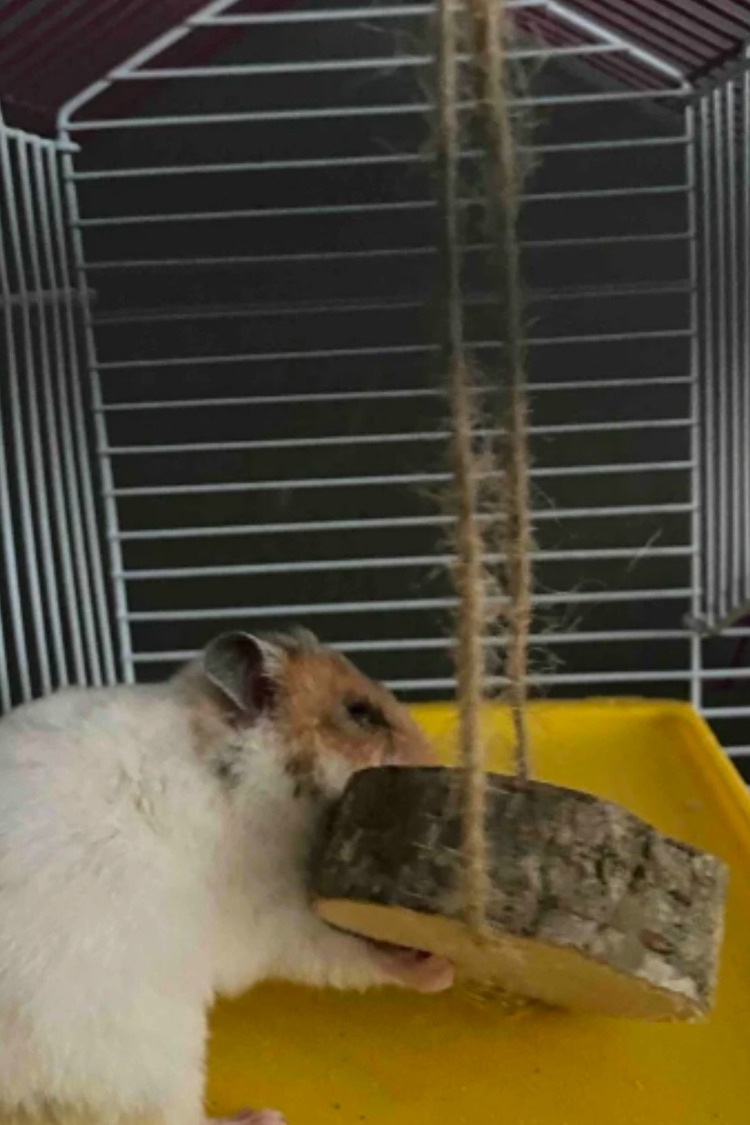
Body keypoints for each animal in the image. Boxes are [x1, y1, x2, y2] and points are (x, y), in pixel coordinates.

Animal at [0, 629, 454, 1125]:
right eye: (361, 713)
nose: (434, 759)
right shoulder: (274, 912)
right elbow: (343, 950)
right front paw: (441, 973)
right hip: (145, 1050)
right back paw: (263, 1117)